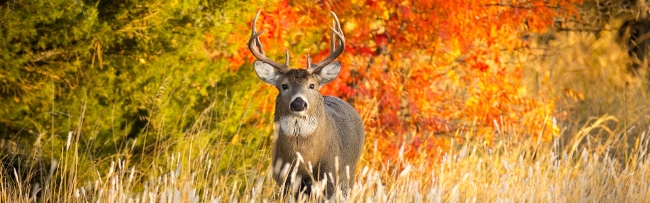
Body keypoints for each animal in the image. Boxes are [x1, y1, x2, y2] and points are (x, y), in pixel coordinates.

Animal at [246, 10, 364, 199]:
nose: (299, 103)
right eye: (284, 85)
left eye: (312, 85)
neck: (303, 159)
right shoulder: (285, 180)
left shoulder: (329, 176)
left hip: (348, 174)